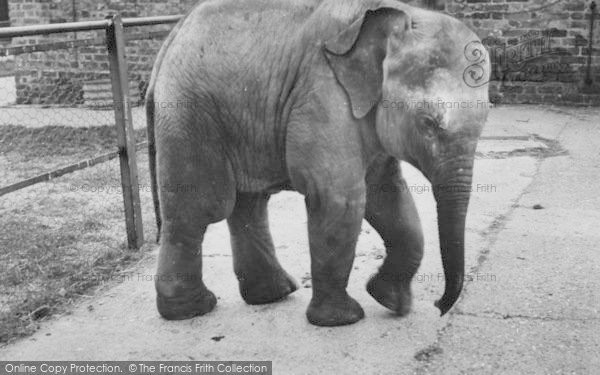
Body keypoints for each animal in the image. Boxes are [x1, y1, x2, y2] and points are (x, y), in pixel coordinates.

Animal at [148, 0, 490, 326]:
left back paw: (272, 294)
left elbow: (388, 196)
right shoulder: (324, 92)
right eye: (428, 122)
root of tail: (170, 39)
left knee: (249, 204)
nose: (438, 307)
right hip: (187, 113)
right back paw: (193, 310)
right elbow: (341, 197)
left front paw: (392, 302)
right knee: (200, 207)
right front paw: (343, 320)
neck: (400, 11)